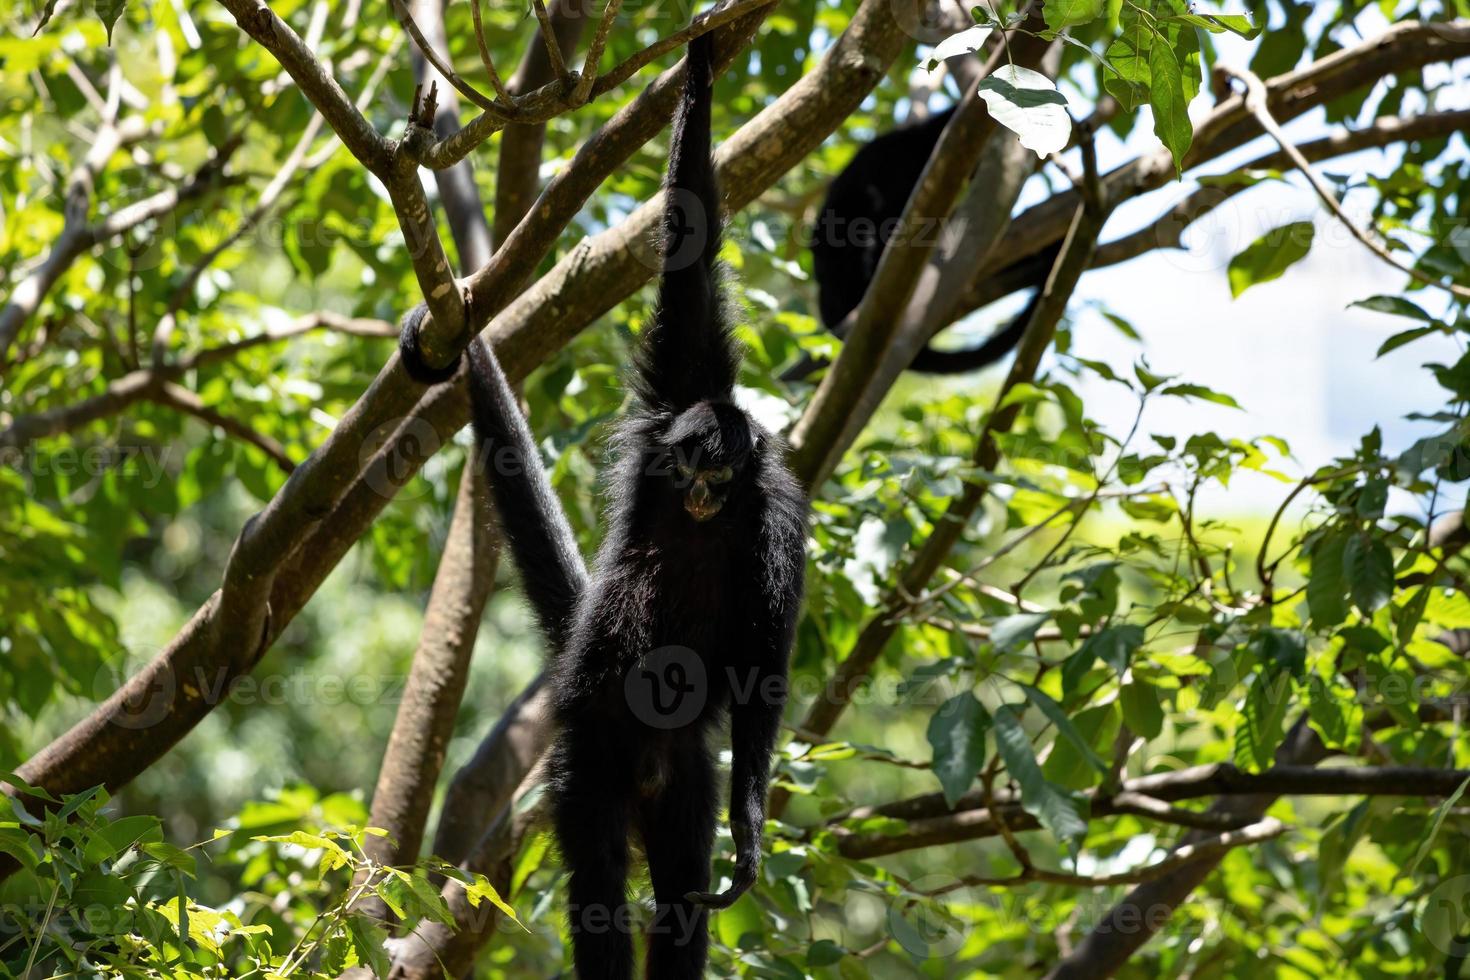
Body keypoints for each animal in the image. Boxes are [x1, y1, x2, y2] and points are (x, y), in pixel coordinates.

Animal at [399, 30, 805, 980]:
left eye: (720, 477)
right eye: (688, 466)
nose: (697, 491)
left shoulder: (778, 514)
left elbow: (765, 661)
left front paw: (750, 833)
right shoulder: (676, 401)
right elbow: (689, 269)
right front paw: (699, 67)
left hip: (682, 773)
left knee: (678, 895)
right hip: (589, 754)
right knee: (600, 888)